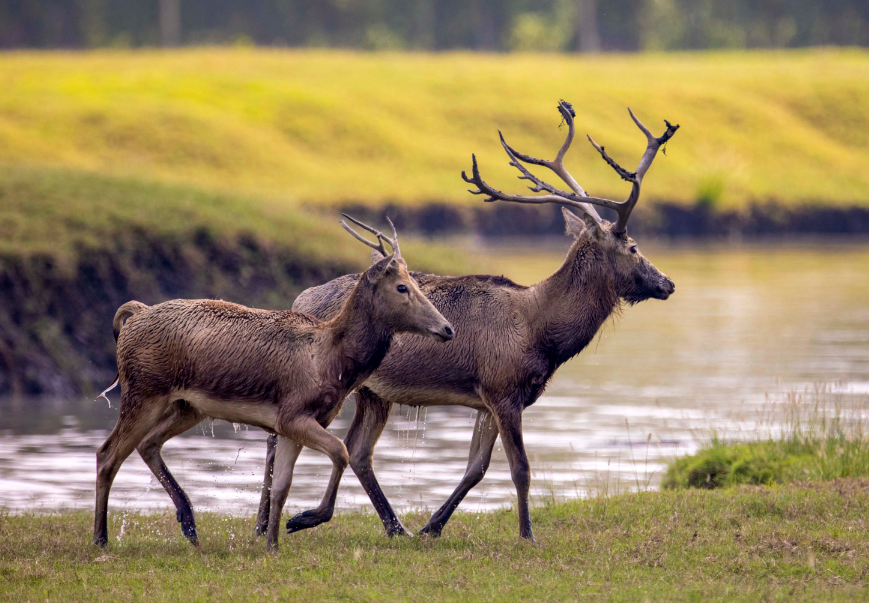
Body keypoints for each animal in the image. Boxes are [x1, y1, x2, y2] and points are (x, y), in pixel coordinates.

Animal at [93, 217, 454, 552]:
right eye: (403, 287)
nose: (447, 329)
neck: (334, 363)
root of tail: (134, 316)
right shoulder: (293, 414)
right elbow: (341, 451)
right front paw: (304, 519)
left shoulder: (293, 423)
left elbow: (282, 485)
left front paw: (273, 544)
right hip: (144, 390)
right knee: (107, 454)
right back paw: (101, 538)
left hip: (188, 406)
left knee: (147, 444)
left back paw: (189, 523)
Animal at [253, 100, 680, 544]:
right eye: (634, 247)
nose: (667, 283)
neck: (543, 334)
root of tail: (298, 297)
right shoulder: (503, 388)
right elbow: (520, 469)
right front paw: (527, 534)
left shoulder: (488, 397)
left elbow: (476, 467)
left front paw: (432, 525)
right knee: (280, 439)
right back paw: (267, 523)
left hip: (374, 391)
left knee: (358, 451)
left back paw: (392, 527)